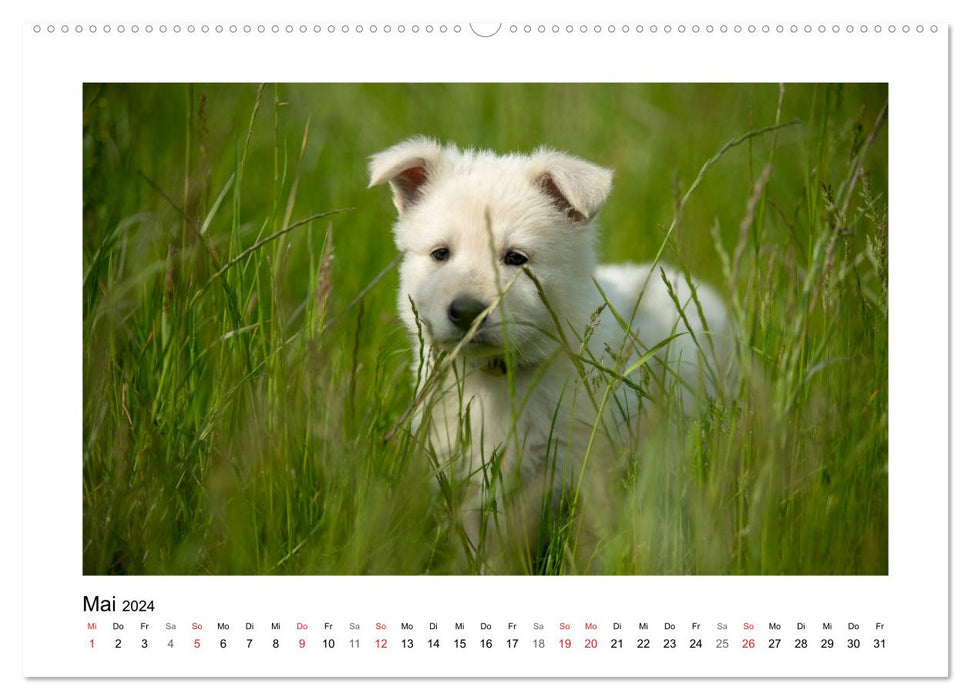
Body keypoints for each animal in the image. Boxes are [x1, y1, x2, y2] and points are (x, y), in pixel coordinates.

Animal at [370, 138, 728, 556]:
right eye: (440, 254)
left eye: (516, 258)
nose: (466, 311)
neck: (500, 376)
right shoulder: (463, 471)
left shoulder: (583, 466)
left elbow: (586, 541)